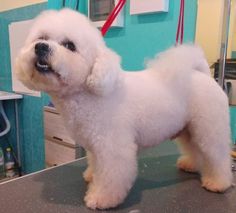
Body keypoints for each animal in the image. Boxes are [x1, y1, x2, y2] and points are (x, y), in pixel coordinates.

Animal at [16, 8, 232, 210]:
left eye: (70, 45)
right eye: (42, 38)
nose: (41, 47)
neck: (90, 92)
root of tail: (201, 74)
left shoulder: (113, 146)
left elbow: (111, 176)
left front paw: (101, 198)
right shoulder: (95, 145)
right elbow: (95, 164)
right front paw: (91, 176)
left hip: (209, 128)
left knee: (218, 155)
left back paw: (218, 183)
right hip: (189, 129)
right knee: (195, 149)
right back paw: (190, 165)